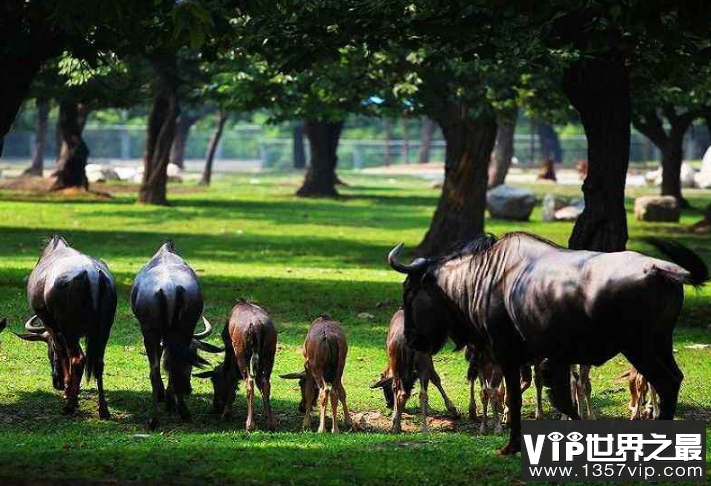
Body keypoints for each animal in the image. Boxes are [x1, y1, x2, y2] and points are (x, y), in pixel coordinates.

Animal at [199, 298, 280, 430]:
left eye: (214, 380)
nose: (216, 405)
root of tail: (256, 326)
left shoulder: (231, 351)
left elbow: (231, 381)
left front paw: (226, 414)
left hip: (242, 355)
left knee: (249, 383)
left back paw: (249, 425)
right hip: (269, 355)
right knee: (265, 383)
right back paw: (271, 423)